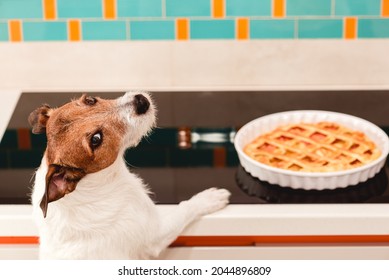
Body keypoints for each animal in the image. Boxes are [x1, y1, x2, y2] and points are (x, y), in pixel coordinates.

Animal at [29, 92, 230, 260]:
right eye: (96, 139)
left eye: (90, 100)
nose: (141, 101)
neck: (98, 183)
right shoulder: (155, 233)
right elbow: (185, 207)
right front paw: (208, 198)